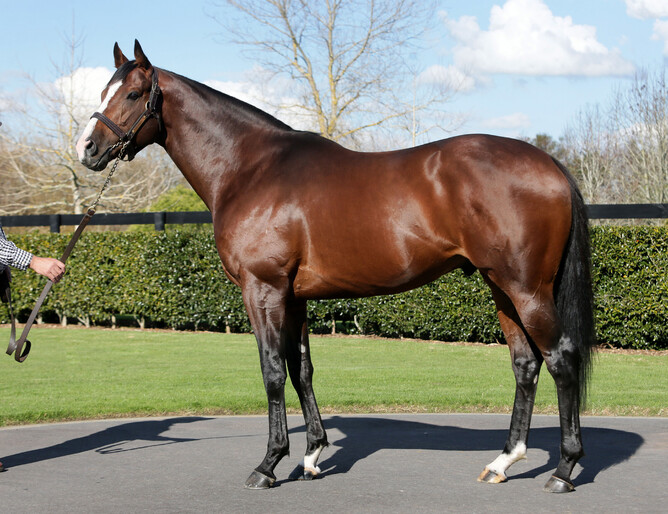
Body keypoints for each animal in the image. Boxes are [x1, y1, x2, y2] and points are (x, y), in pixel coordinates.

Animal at [76, 40, 595, 494]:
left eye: (133, 93)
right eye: (103, 90)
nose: (87, 148)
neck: (251, 168)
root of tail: (549, 163)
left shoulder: (262, 289)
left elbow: (272, 371)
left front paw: (268, 464)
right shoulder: (294, 296)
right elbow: (301, 368)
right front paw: (311, 455)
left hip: (527, 289)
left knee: (561, 359)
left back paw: (564, 470)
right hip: (501, 287)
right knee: (525, 364)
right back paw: (504, 462)